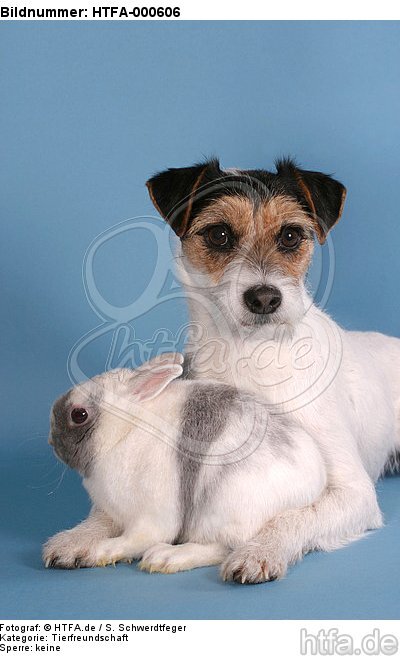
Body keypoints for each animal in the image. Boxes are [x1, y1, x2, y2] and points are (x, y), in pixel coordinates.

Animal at [43, 352, 327, 580]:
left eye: (79, 415)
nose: (51, 441)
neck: (126, 429)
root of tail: (314, 488)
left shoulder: (153, 516)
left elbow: (135, 539)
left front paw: (100, 551)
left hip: (222, 510)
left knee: (221, 547)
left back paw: (165, 558)